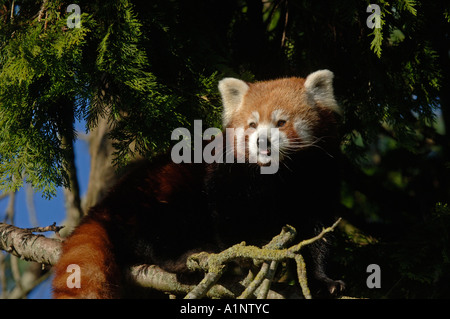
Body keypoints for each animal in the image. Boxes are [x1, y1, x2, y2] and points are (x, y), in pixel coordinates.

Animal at [51, 70, 342, 300]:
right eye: (252, 124)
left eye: (281, 122)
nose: (262, 141)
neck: (280, 175)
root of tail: (107, 203)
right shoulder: (227, 175)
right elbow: (228, 214)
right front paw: (248, 251)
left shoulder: (317, 180)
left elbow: (318, 234)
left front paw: (323, 281)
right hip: (161, 192)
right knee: (159, 232)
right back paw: (183, 257)